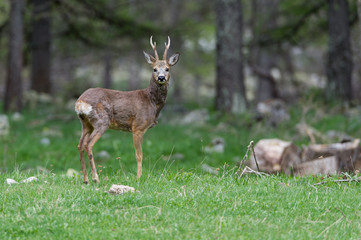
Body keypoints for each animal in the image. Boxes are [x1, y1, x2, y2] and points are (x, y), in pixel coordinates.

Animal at [74, 35, 179, 183]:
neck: (151, 102)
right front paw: (139, 177)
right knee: (88, 145)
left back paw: (85, 179)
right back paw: (95, 178)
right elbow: (139, 155)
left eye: (167, 68)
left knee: (80, 145)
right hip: (102, 121)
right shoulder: (138, 127)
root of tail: (80, 102)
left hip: (86, 123)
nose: (161, 77)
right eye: (154, 69)